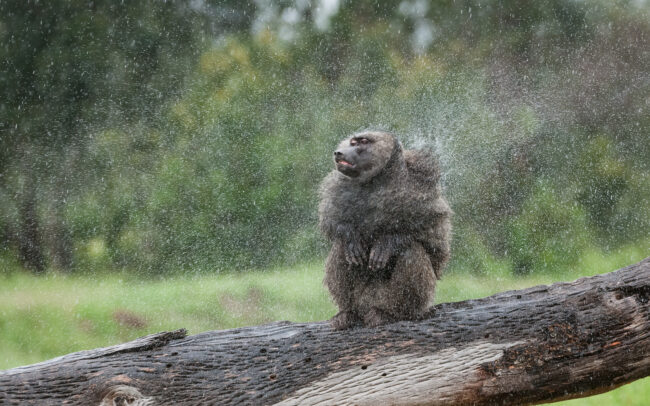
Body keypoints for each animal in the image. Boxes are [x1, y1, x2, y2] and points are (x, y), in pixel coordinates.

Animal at [318, 130, 451, 330]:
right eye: (352, 142)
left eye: (363, 141)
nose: (339, 153)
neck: (377, 181)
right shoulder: (340, 188)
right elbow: (334, 223)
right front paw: (350, 238)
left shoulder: (422, 190)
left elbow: (435, 240)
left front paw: (388, 243)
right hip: (361, 298)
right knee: (341, 249)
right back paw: (347, 313)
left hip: (392, 299)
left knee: (411, 251)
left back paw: (391, 314)